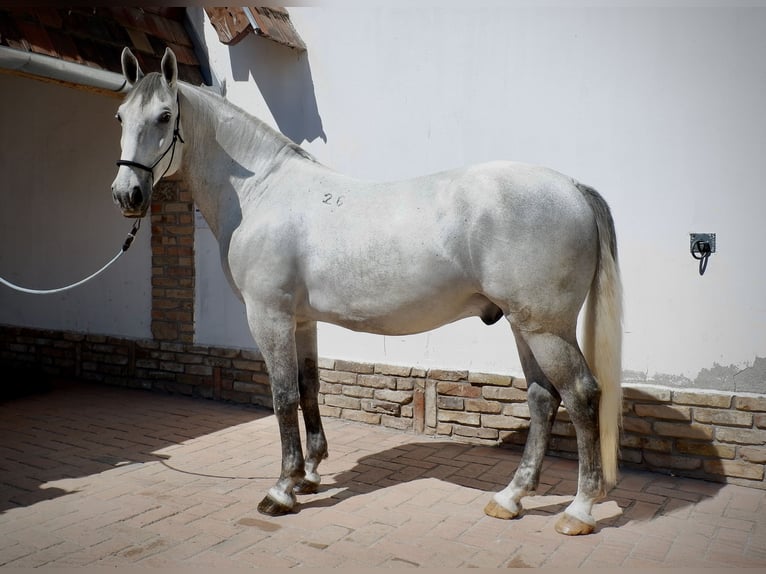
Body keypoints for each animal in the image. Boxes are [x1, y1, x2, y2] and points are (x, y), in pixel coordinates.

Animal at [111, 47, 622, 536]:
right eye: (120, 116)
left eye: (163, 116)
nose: (127, 194)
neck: (262, 193)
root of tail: (571, 187)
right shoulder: (302, 320)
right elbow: (309, 387)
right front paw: (310, 474)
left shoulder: (269, 316)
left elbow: (283, 397)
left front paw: (282, 489)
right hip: (523, 326)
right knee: (542, 399)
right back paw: (511, 497)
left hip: (545, 329)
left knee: (580, 395)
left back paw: (579, 509)